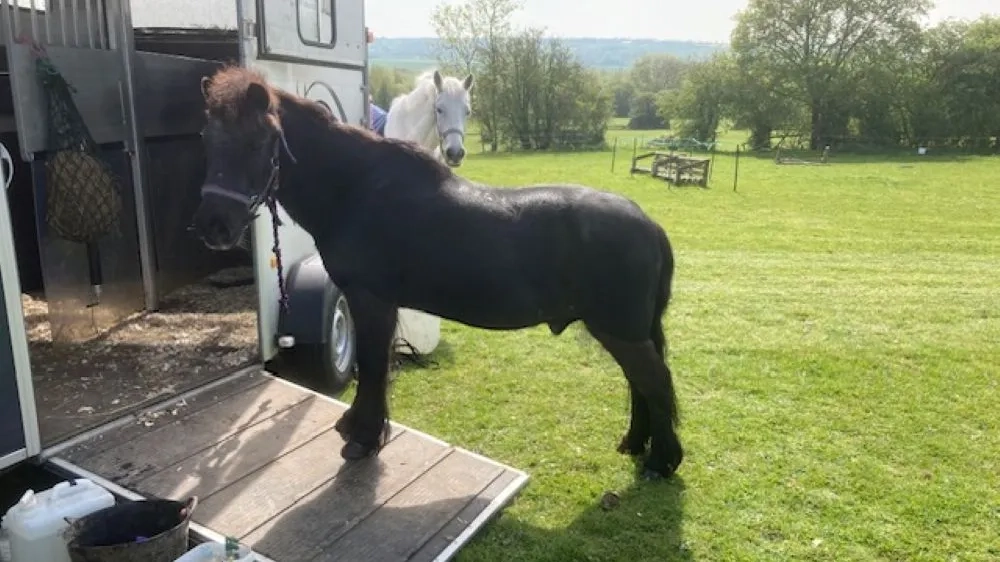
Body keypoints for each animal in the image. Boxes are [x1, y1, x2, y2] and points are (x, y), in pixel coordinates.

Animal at [191, 66, 684, 480]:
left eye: (258, 141)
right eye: (207, 140)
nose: (214, 225)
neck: (355, 189)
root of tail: (649, 224)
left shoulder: (371, 299)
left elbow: (373, 367)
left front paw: (364, 438)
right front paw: (361, 429)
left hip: (620, 330)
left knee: (654, 382)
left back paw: (661, 460)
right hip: (625, 331)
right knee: (640, 383)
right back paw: (636, 444)